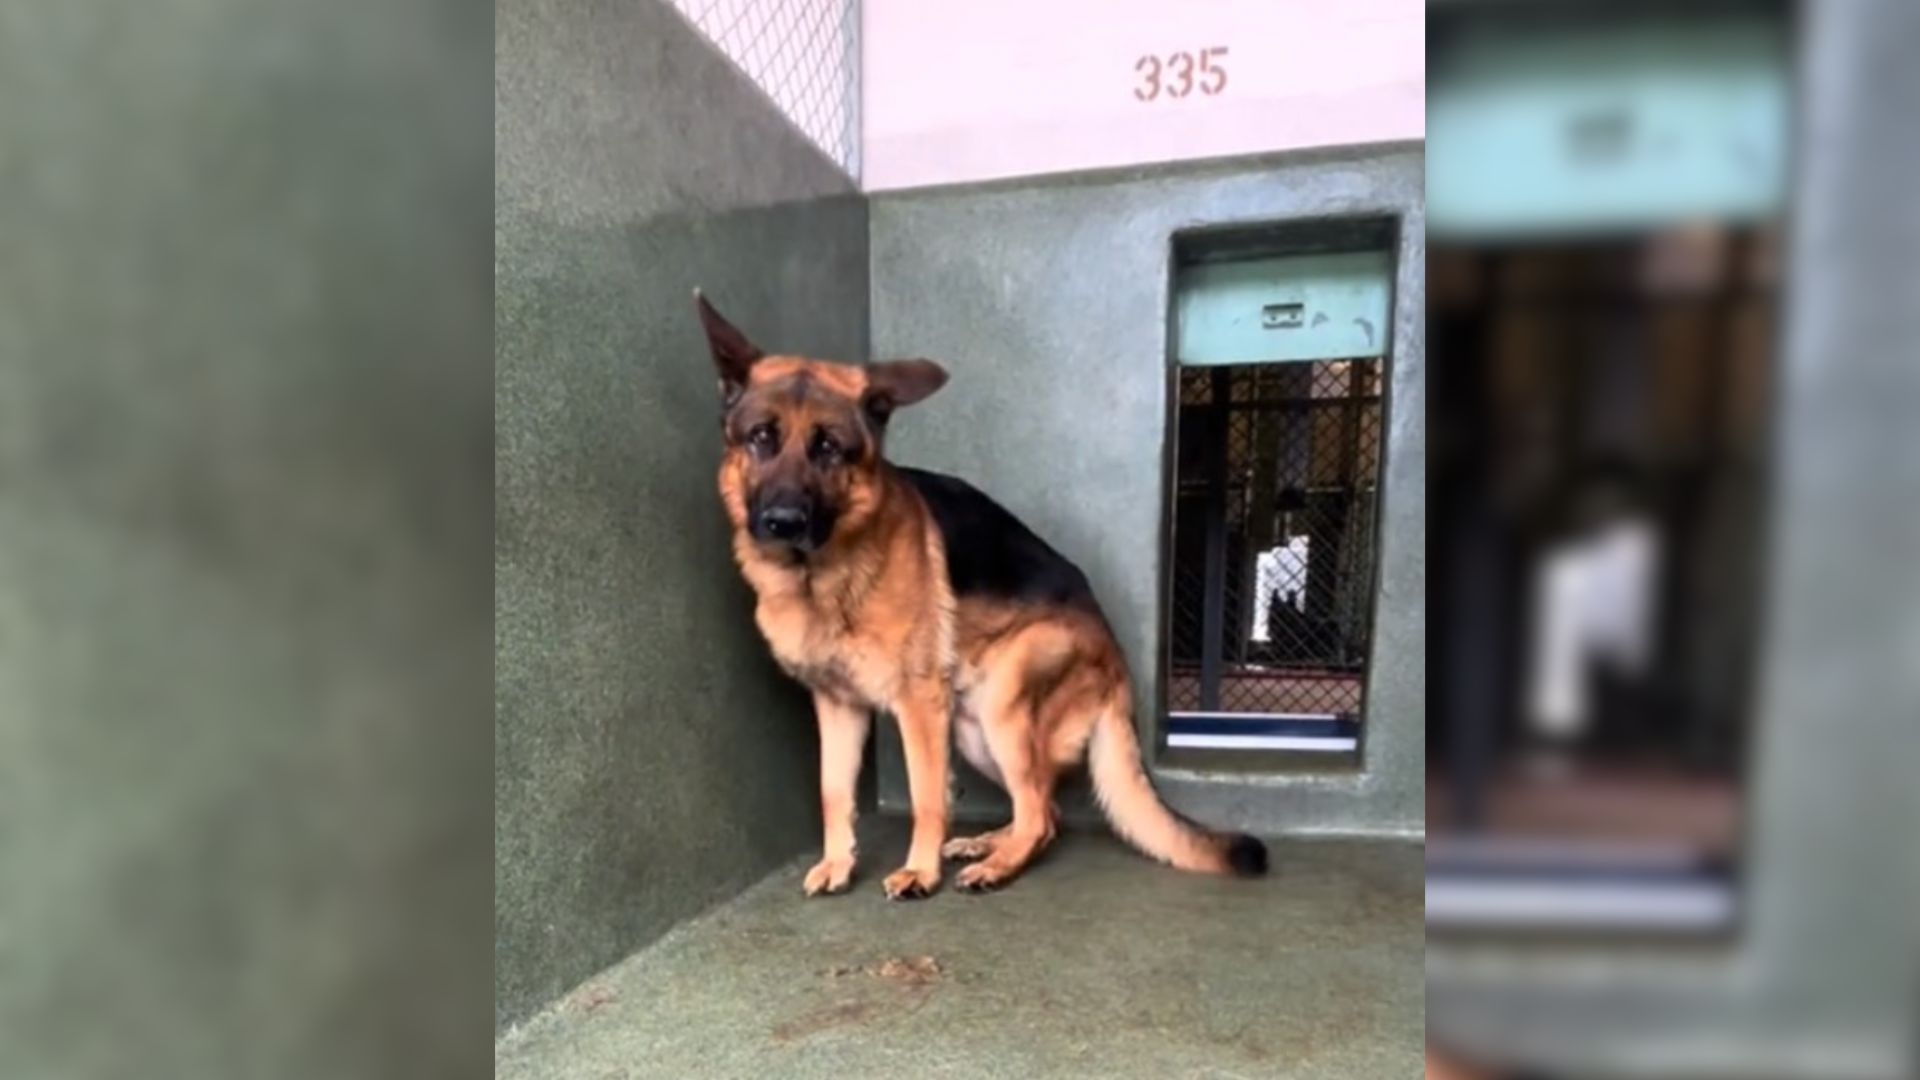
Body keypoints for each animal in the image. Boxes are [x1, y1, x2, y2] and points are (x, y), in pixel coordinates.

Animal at [698, 290, 1267, 895]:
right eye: (761, 438)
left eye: (829, 448)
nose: (782, 522)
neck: (819, 577)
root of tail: (1116, 662)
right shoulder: (838, 707)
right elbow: (833, 793)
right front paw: (838, 864)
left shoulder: (920, 703)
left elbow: (926, 797)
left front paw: (920, 872)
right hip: (971, 729)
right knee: (1043, 807)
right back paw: (987, 844)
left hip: (1001, 705)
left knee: (1040, 814)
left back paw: (997, 865)